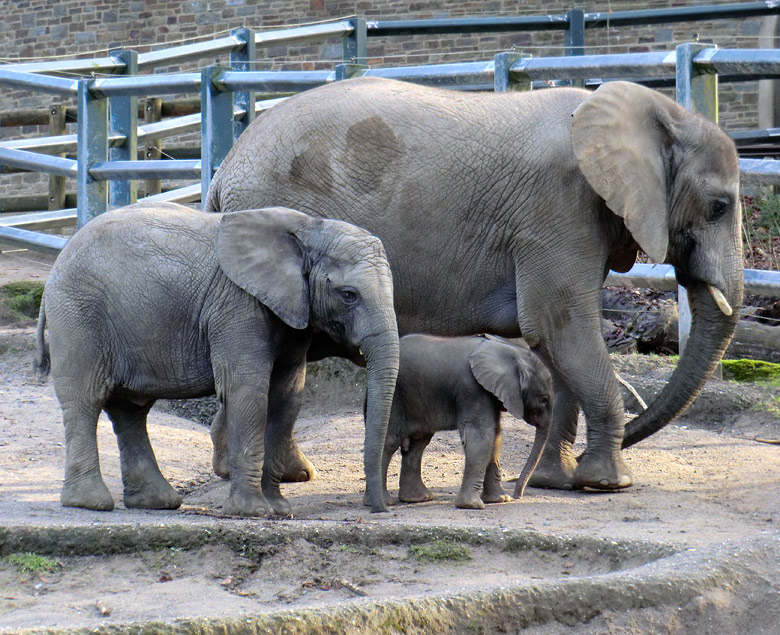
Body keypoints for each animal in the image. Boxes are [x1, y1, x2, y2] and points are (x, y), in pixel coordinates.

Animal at [34, 204, 400, 516]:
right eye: (349, 295)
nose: (380, 508)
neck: (310, 228)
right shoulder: (237, 305)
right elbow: (248, 392)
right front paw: (252, 513)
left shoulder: (293, 311)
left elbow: (286, 399)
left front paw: (279, 510)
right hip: (78, 316)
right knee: (86, 400)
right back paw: (90, 503)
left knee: (130, 410)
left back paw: (156, 502)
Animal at [207, 78, 744, 492]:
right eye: (719, 207)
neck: (658, 112)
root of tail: (224, 170)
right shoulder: (558, 209)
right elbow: (559, 325)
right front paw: (607, 484)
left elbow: (557, 340)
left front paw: (556, 481)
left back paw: (262, 471)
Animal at [372, 336, 556, 510]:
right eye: (544, 399)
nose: (517, 496)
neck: (509, 352)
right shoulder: (472, 387)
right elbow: (480, 436)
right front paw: (473, 505)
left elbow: (495, 436)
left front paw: (501, 499)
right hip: (395, 397)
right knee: (390, 441)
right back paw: (384, 501)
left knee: (419, 443)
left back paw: (418, 499)